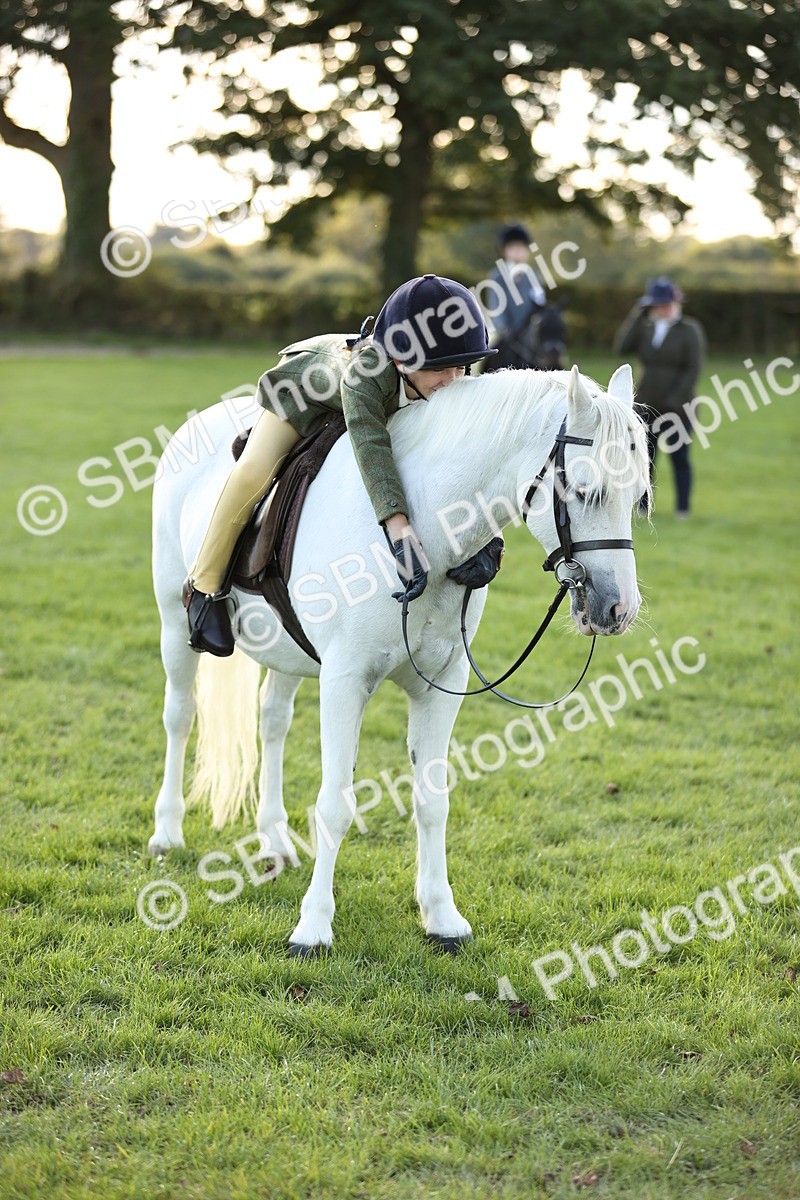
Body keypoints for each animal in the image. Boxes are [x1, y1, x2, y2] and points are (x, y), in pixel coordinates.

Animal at [149, 363, 650, 956]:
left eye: (639, 497)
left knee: (272, 722)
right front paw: (313, 927)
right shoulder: (345, 682)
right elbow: (335, 804)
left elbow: (433, 801)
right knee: (180, 717)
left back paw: (273, 838)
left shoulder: (442, 684)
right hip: (173, 622)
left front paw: (442, 916)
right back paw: (167, 832)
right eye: (584, 490)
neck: (423, 535)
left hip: (287, 653)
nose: (617, 608)